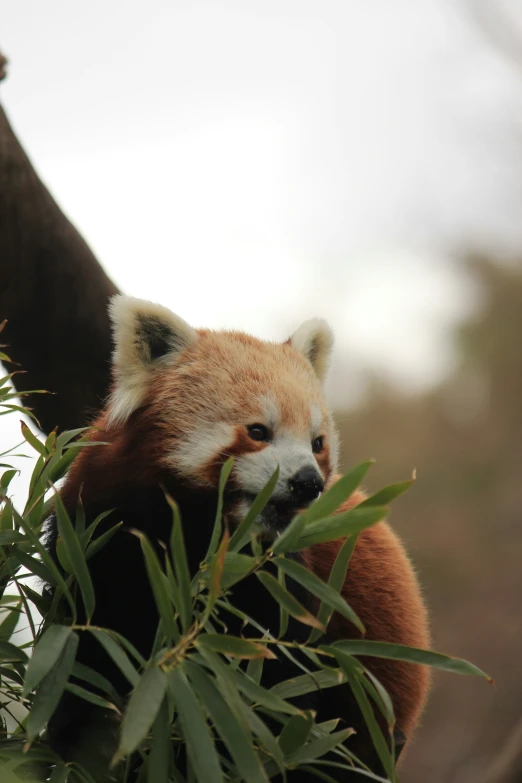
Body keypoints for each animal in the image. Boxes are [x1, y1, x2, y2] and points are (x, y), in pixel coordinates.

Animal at [44, 298, 428, 780]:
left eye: (317, 443)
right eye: (259, 431)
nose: (308, 483)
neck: (195, 535)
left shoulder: (281, 589)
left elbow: (277, 687)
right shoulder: (92, 535)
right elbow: (83, 648)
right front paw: (80, 741)